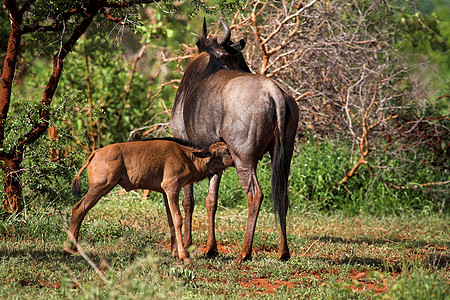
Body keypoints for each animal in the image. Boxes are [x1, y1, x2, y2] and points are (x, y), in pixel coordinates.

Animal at [63, 138, 234, 262]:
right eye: (226, 150)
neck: (188, 157)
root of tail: (96, 153)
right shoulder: (171, 188)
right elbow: (178, 219)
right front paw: (183, 256)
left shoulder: (165, 192)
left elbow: (170, 220)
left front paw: (174, 253)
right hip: (101, 186)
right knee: (78, 208)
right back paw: (67, 250)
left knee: (80, 210)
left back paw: (71, 249)